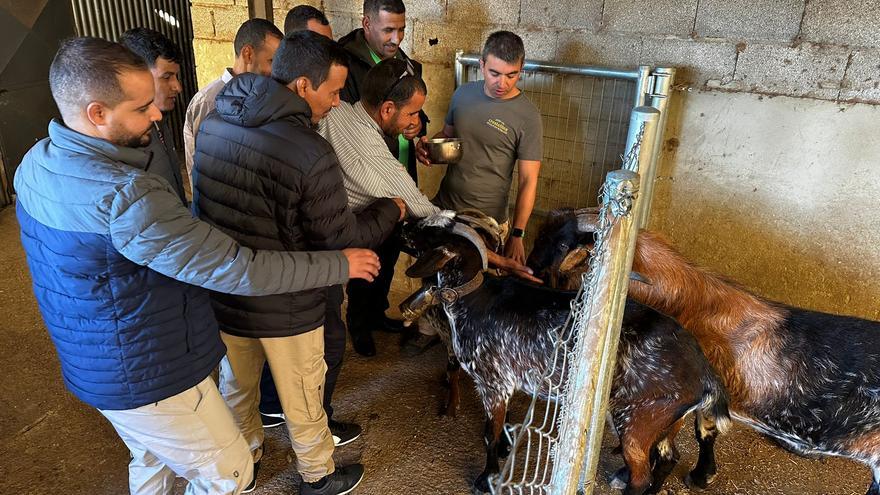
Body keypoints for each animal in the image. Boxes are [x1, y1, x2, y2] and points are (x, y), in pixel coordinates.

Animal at [398, 211, 728, 494]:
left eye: (430, 232)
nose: (403, 223)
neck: (475, 297)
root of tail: (704, 372)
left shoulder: (494, 381)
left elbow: (489, 435)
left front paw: (485, 478)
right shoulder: (500, 381)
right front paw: (504, 450)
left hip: (638, 417)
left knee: (641, 474)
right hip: (660, 418)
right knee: (668, 457)